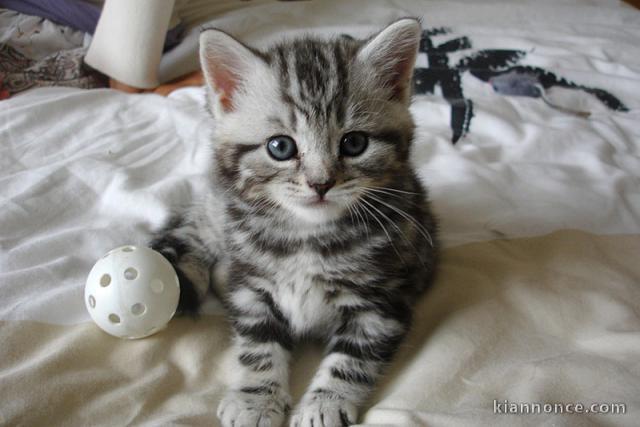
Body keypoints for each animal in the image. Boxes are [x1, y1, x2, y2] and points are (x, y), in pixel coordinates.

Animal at [152, 17, 438, 427]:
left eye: (354, 143)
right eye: (280, 147)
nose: (321, 183)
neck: (307, 235)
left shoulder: (383, 300)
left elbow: (351, 359)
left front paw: (325, 403)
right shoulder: (252, 288)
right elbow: (258, 345)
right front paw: (256, 401)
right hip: (219, 214)